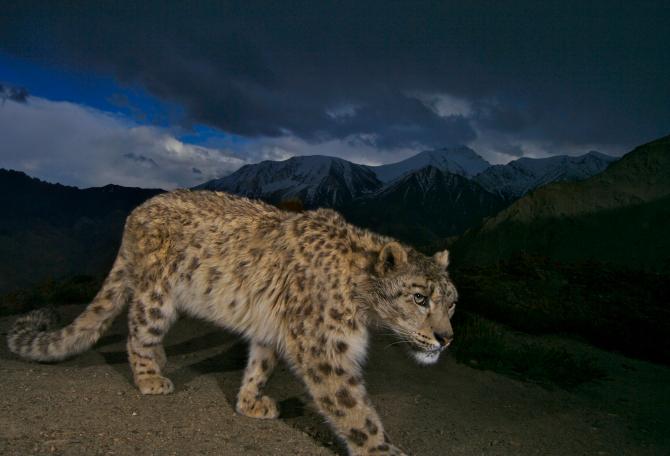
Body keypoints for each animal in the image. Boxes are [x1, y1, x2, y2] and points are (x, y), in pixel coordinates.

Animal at [8, 190, 457, 456]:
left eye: (452, 303)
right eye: (420, 298)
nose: (446, 338)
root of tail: (136, 213)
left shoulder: (273, 329)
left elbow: (261, 363)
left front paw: (250, 401)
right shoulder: (325, 351)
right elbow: (354, 410)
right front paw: (383, 449)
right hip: (157, 297)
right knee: (137, 330)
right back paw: (151, 377)